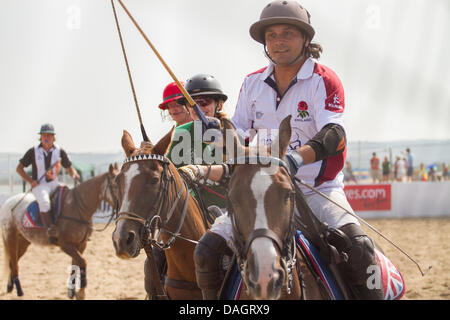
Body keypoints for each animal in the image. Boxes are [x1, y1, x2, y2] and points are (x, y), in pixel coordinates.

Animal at [0, 164, 119, 298]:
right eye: (116, 184)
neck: (78, 209)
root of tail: (7, 202)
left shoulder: (81, 244)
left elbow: (75, 266)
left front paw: (71, 292)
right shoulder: (65, 245)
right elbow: (82, 262)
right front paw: (81, 292)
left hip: (24, 241)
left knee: (13, 261)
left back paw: (10, 287)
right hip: (10, 237)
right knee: (13, 262)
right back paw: (19, 291)